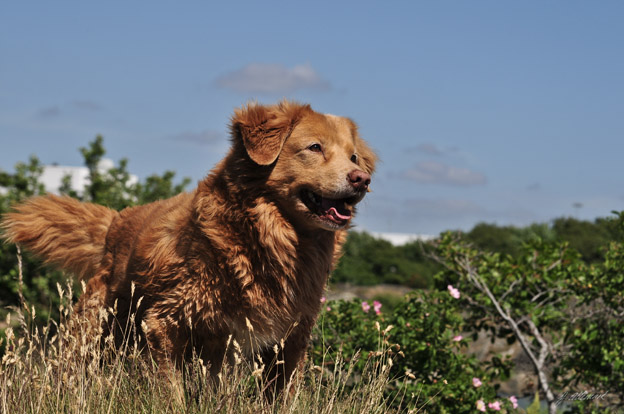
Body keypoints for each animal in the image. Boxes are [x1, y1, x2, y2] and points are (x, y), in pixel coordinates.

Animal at [1, 100, 376, 392]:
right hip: (95, 332)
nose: (362, 179)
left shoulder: (287, 343)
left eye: (354, 157)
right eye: (314, 148)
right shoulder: (164, 325)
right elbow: (173, 394)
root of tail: (116, 221)